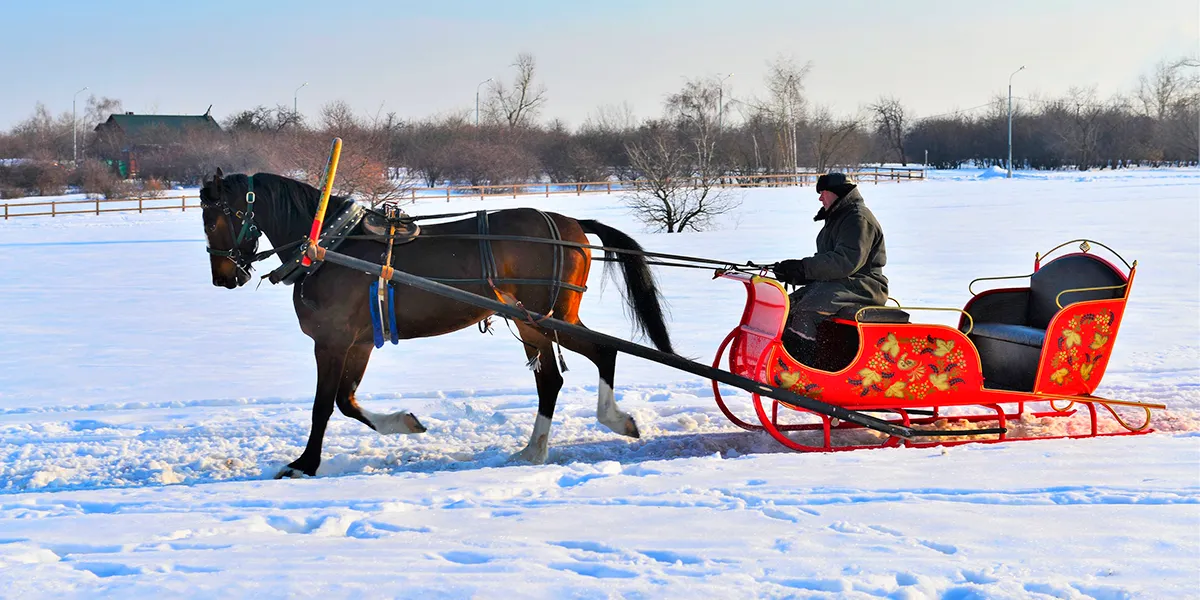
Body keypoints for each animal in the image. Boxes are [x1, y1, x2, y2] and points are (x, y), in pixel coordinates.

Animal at [201, 170, 681, 477]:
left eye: (214, 217)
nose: (223, 277)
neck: (331, 246)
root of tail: (571, 223)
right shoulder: (359, 343)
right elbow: (346, 401)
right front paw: (404, 423)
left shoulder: (332, 341)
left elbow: (324, 406)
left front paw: (304, 464)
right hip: (532, 323)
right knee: (550, 380)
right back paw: (533, 450)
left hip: (552, 318)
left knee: (604, 350)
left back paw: (613, 419)